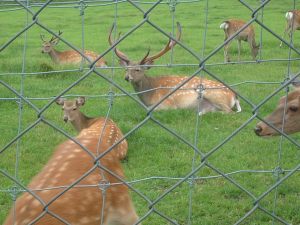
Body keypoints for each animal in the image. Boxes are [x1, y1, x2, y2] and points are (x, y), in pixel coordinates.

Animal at [109, 22, 243, 114]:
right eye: (126, 69)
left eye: (137, 69)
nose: (127, 77)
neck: (149, 94)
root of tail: (234, 96)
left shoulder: (167, 103)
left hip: (213, 93)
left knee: (230, 112)